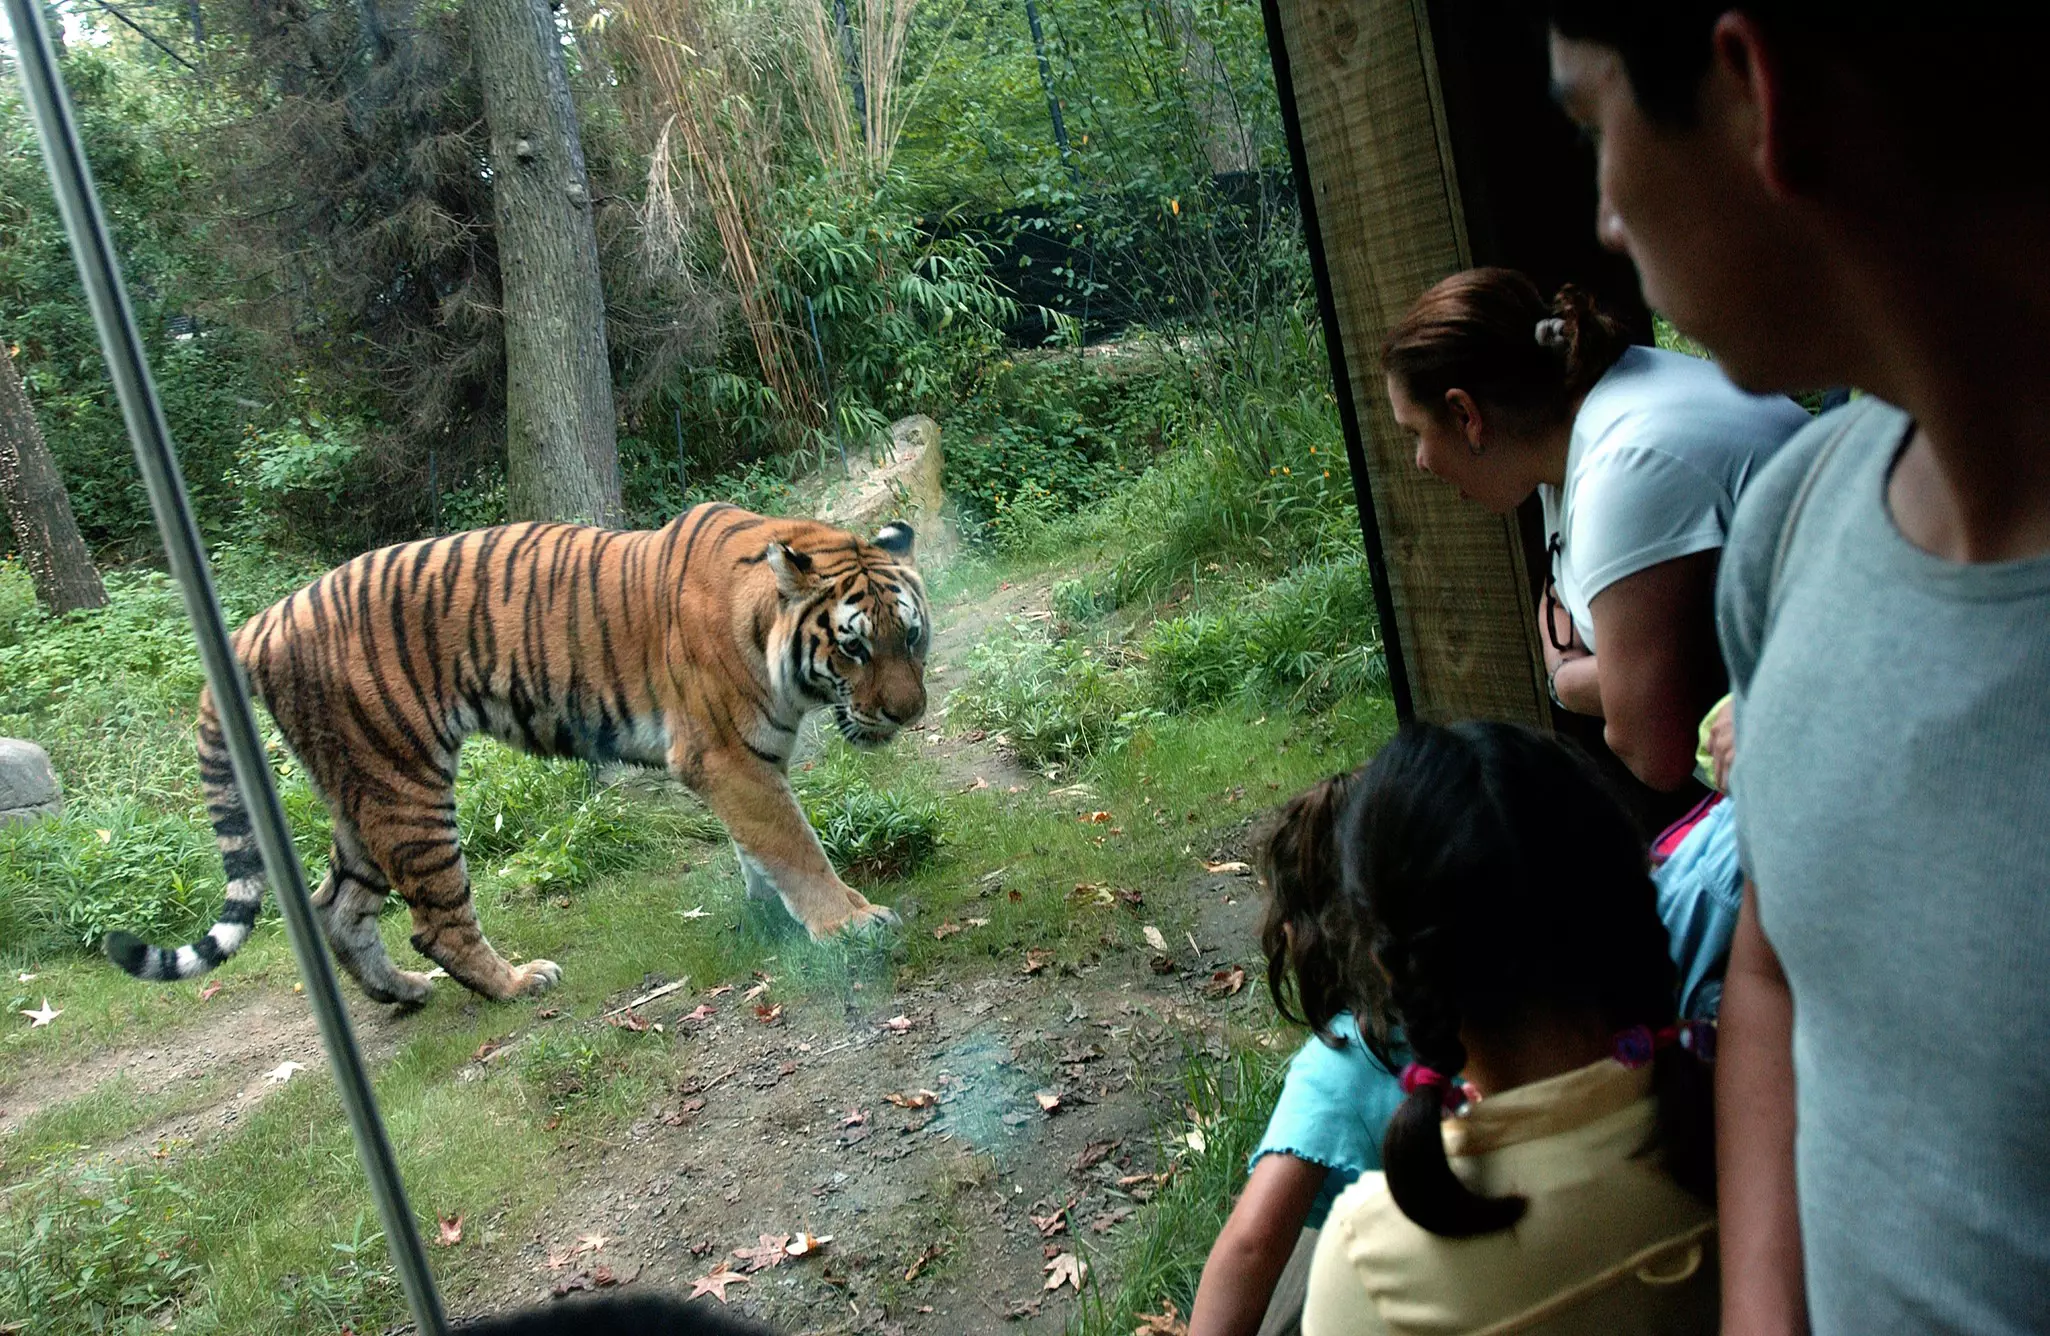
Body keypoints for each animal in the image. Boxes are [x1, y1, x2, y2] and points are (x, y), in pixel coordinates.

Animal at [104, 504, 929, 1005]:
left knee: (335, 905)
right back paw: (515, 982)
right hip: (408, 785)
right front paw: (848, 923)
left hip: (358, 791)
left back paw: (402, 993)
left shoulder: (747, 764)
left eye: (911, 636)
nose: (909, 712)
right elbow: (794, 845)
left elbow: (762, 848)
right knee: (435, 920)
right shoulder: (726, 756)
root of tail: (259, 622)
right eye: (853, 647)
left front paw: (773, 912)